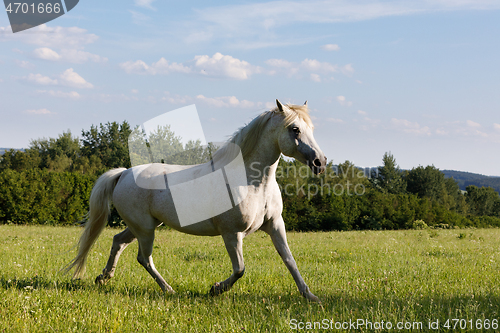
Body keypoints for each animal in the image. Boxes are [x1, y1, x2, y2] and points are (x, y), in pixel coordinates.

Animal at [67, 99, 328, 300]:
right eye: (294, 129)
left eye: (312, 128)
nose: (320, 162)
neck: (253, 184)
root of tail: (123, 173)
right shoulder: (232, 233)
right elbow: (240, 269)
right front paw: (215, 289)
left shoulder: (275, 225)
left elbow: (289, 261)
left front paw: (311, 296)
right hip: (145, 229)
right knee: (144, 258)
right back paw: (168, 289)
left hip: (142, 226)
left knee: (118, 241)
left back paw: (104, 277)